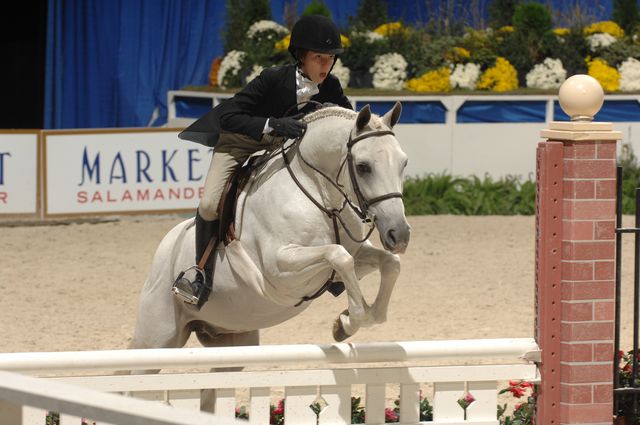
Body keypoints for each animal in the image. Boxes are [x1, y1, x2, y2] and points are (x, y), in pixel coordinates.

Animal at [131, 102, 410, 354]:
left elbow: (390, 265)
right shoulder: (281, 268)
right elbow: (339, 256)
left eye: (404, 163)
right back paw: (191, 288)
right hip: (156, 338)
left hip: (233, 339)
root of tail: (164, 248)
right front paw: (350, 319)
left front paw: (344, 323)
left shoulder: (357, 255)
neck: (320, 194)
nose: (399, 235)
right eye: (363, 167)